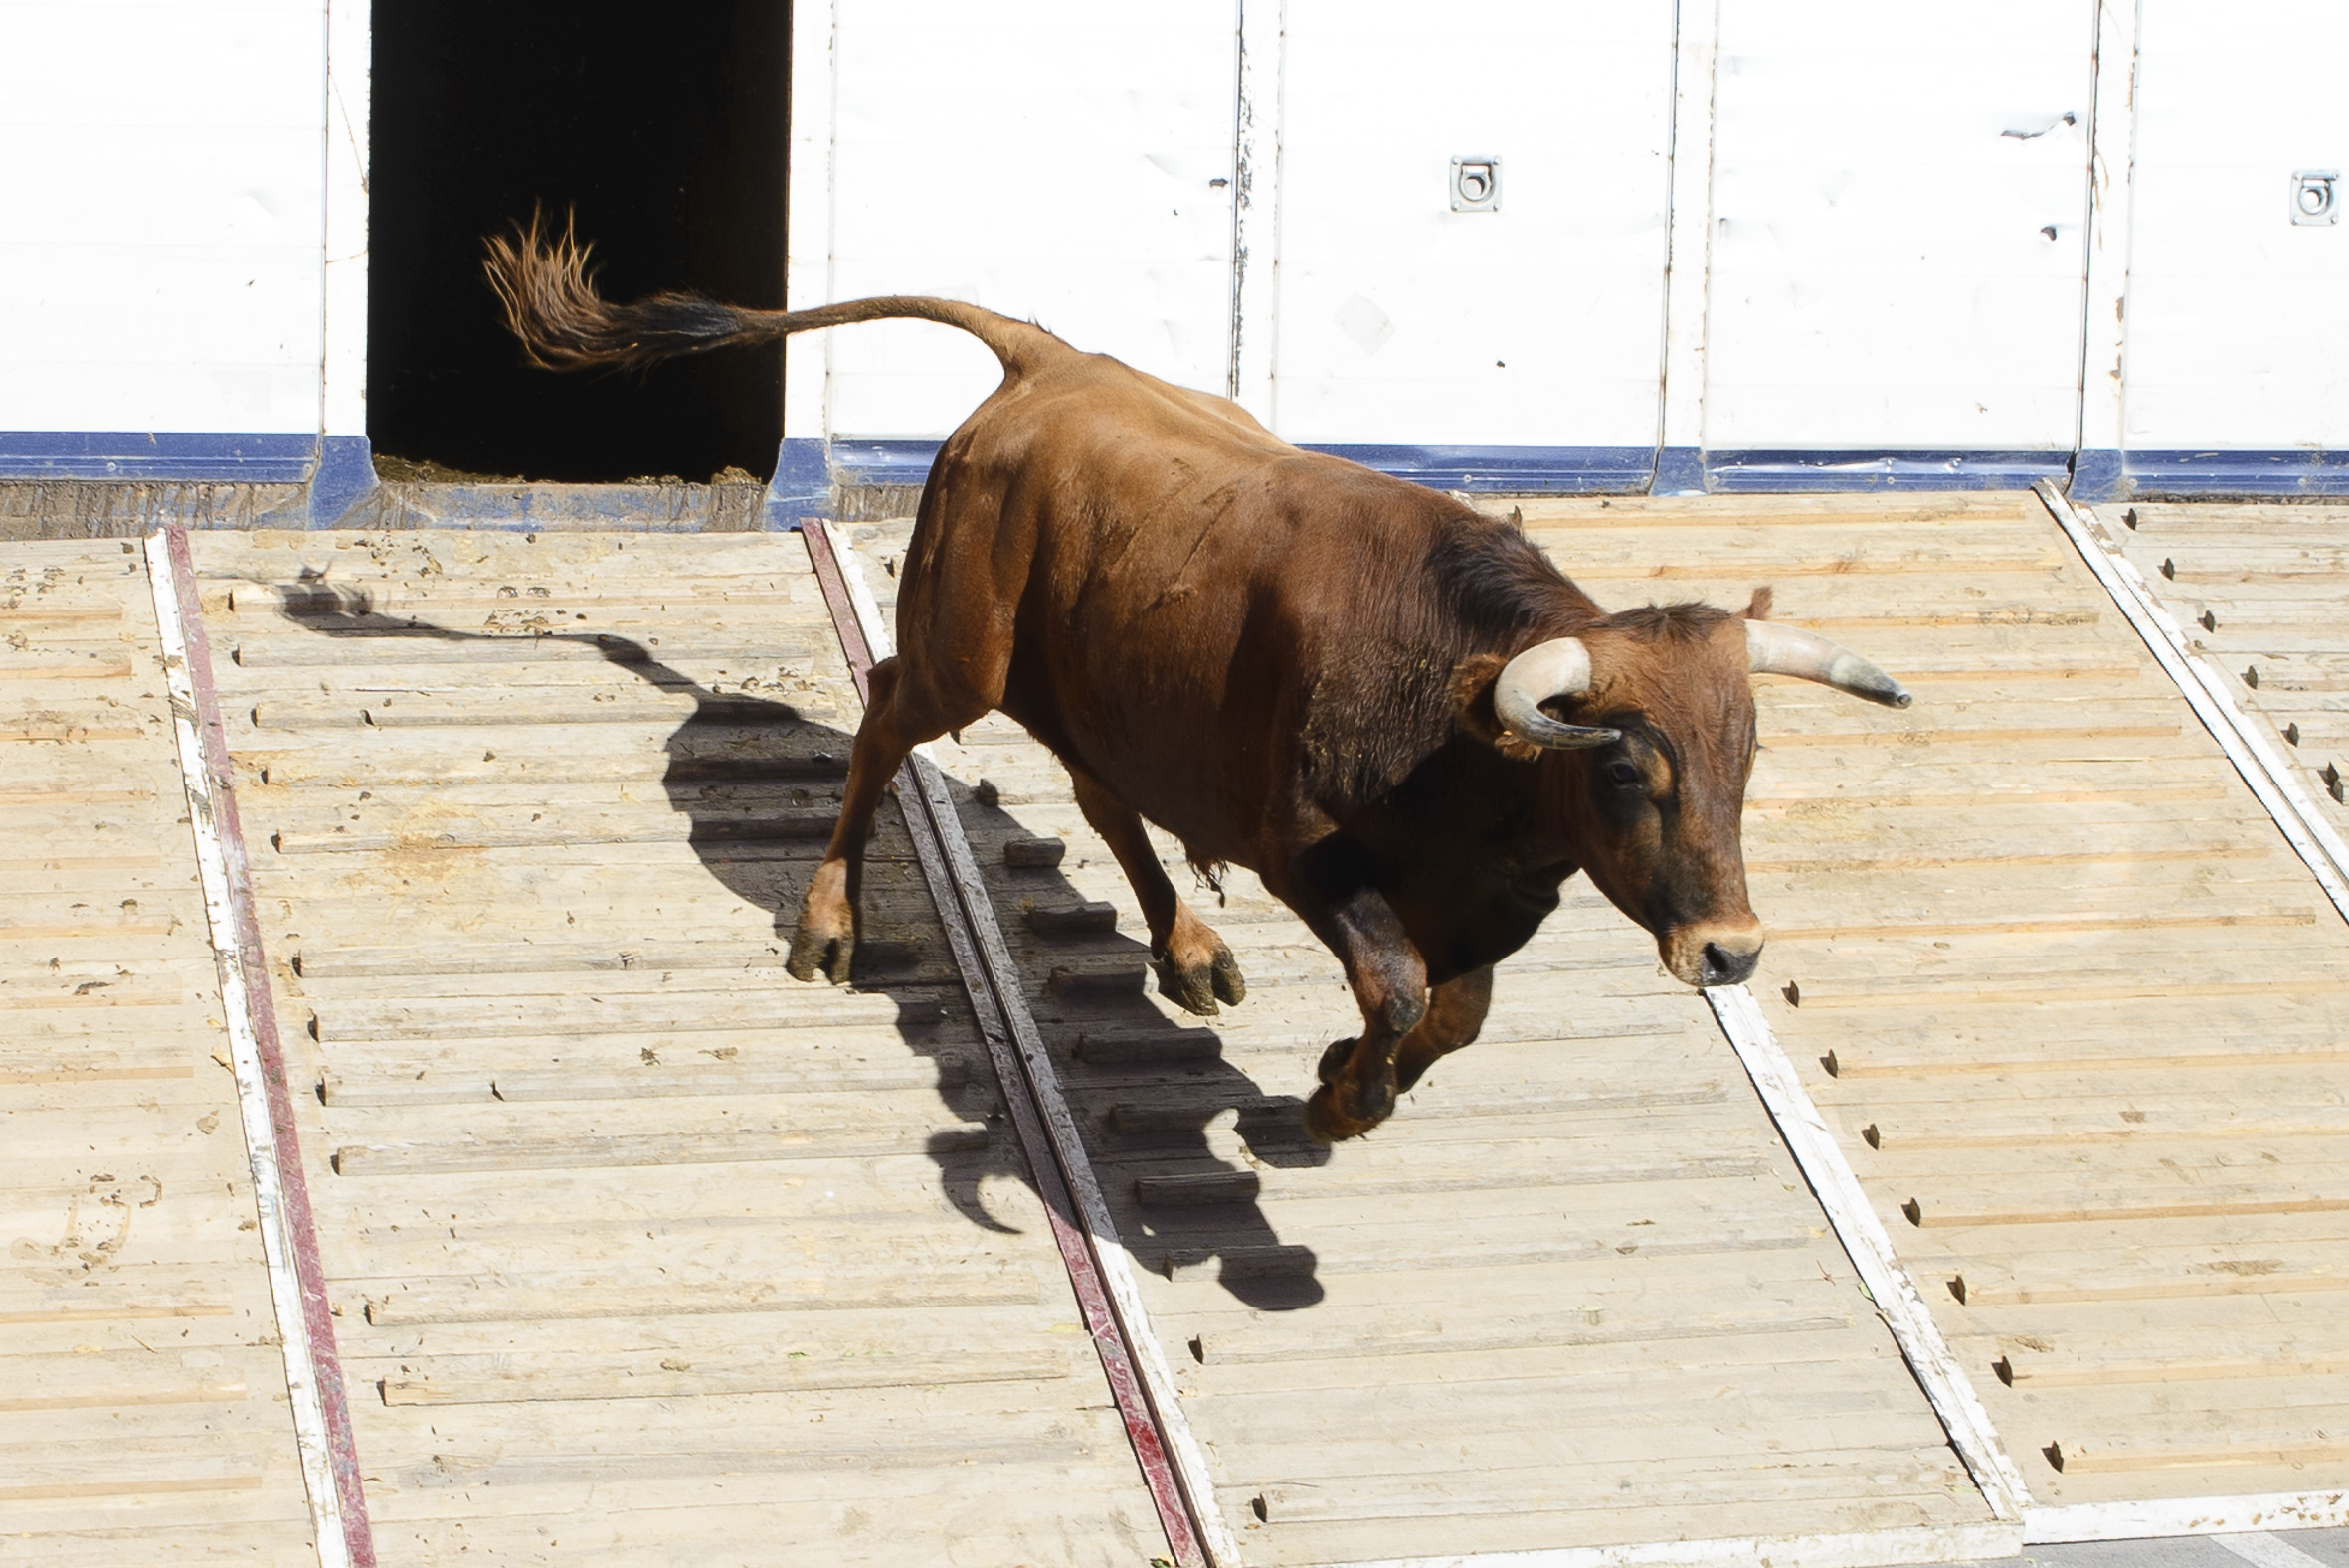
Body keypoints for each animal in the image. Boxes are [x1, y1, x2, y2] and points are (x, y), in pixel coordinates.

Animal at [481, 220, 1906, 1145]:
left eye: (1745, 758)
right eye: (1622, 767)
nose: (1729, 948)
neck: (1459, 717)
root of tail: (1045, 362)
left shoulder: (1486, 906)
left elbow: (1448, 1016)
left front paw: (1345, 1076)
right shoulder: (1306, 851)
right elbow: (1399, 991)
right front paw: (1338, 1099)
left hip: (1102, 687)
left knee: (1102, 795)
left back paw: (1187, 943)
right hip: (964, 652)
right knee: (886, 711)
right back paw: (829, 921)